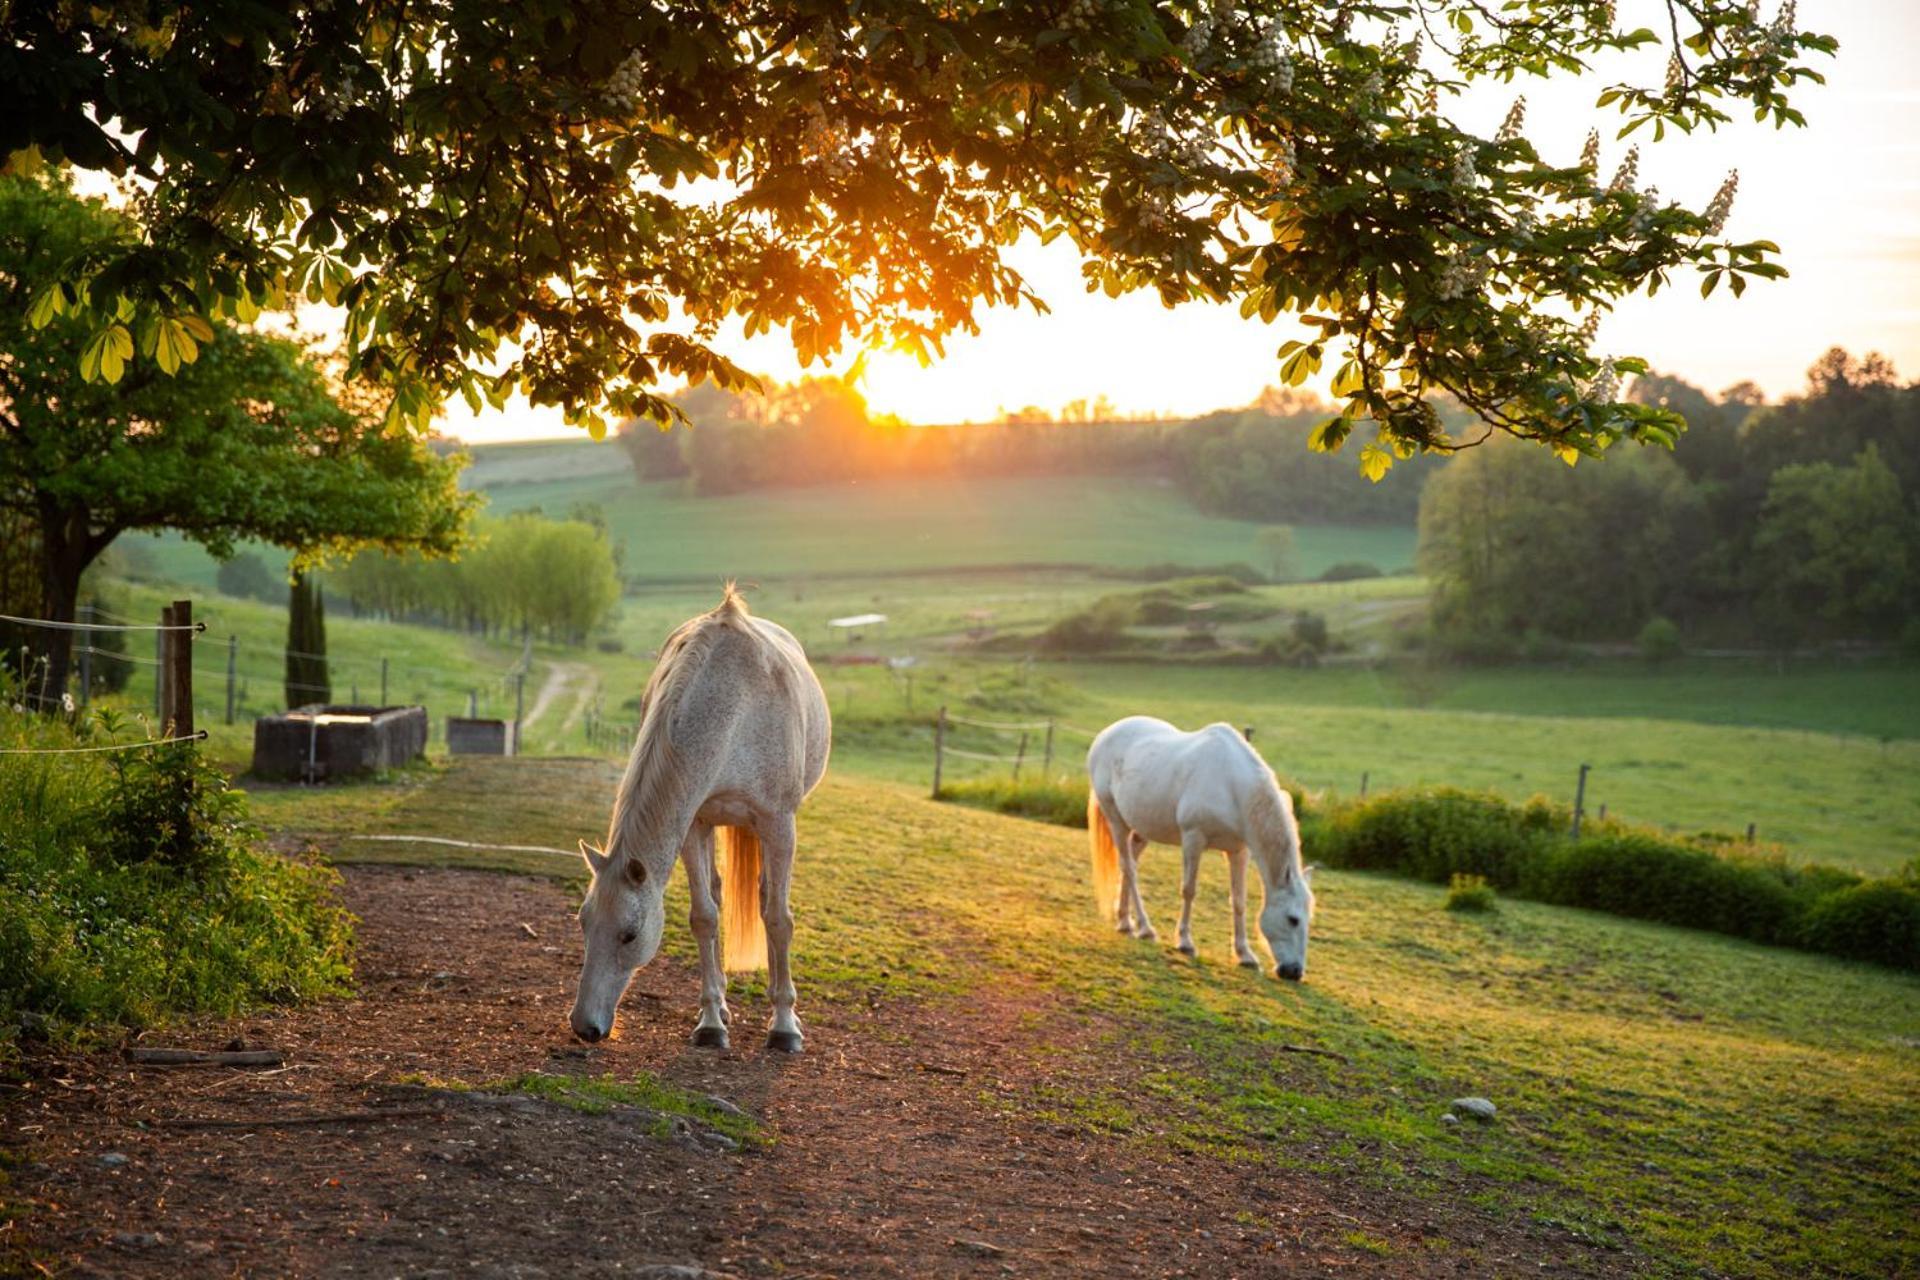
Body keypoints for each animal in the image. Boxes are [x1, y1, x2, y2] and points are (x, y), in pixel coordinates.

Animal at [564, 587, 829, 1051]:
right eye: (583, 922)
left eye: (629, 934)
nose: (584, 1026)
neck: (735, 704)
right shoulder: (694, 823)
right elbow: (704, 917)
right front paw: (710, 1023)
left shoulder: (778, 822)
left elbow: (779, 919)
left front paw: (784, 1026)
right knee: (721, 896)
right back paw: (722, 1006)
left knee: (766, 900)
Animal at [1090, 721, 1313, 982]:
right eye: (1293, 919)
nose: (1294, 972)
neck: (1232, 786)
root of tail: (1105, 734)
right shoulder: (1193, 839)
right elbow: (1189, 890)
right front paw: (1185, 942)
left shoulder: (1239, 852)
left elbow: (1239, 900)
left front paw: (1245, 955)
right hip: (1116, 819)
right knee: (1129, 869)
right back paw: (1145, 928)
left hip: (1142, 827)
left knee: (1130, 864)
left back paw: (1125, 921)